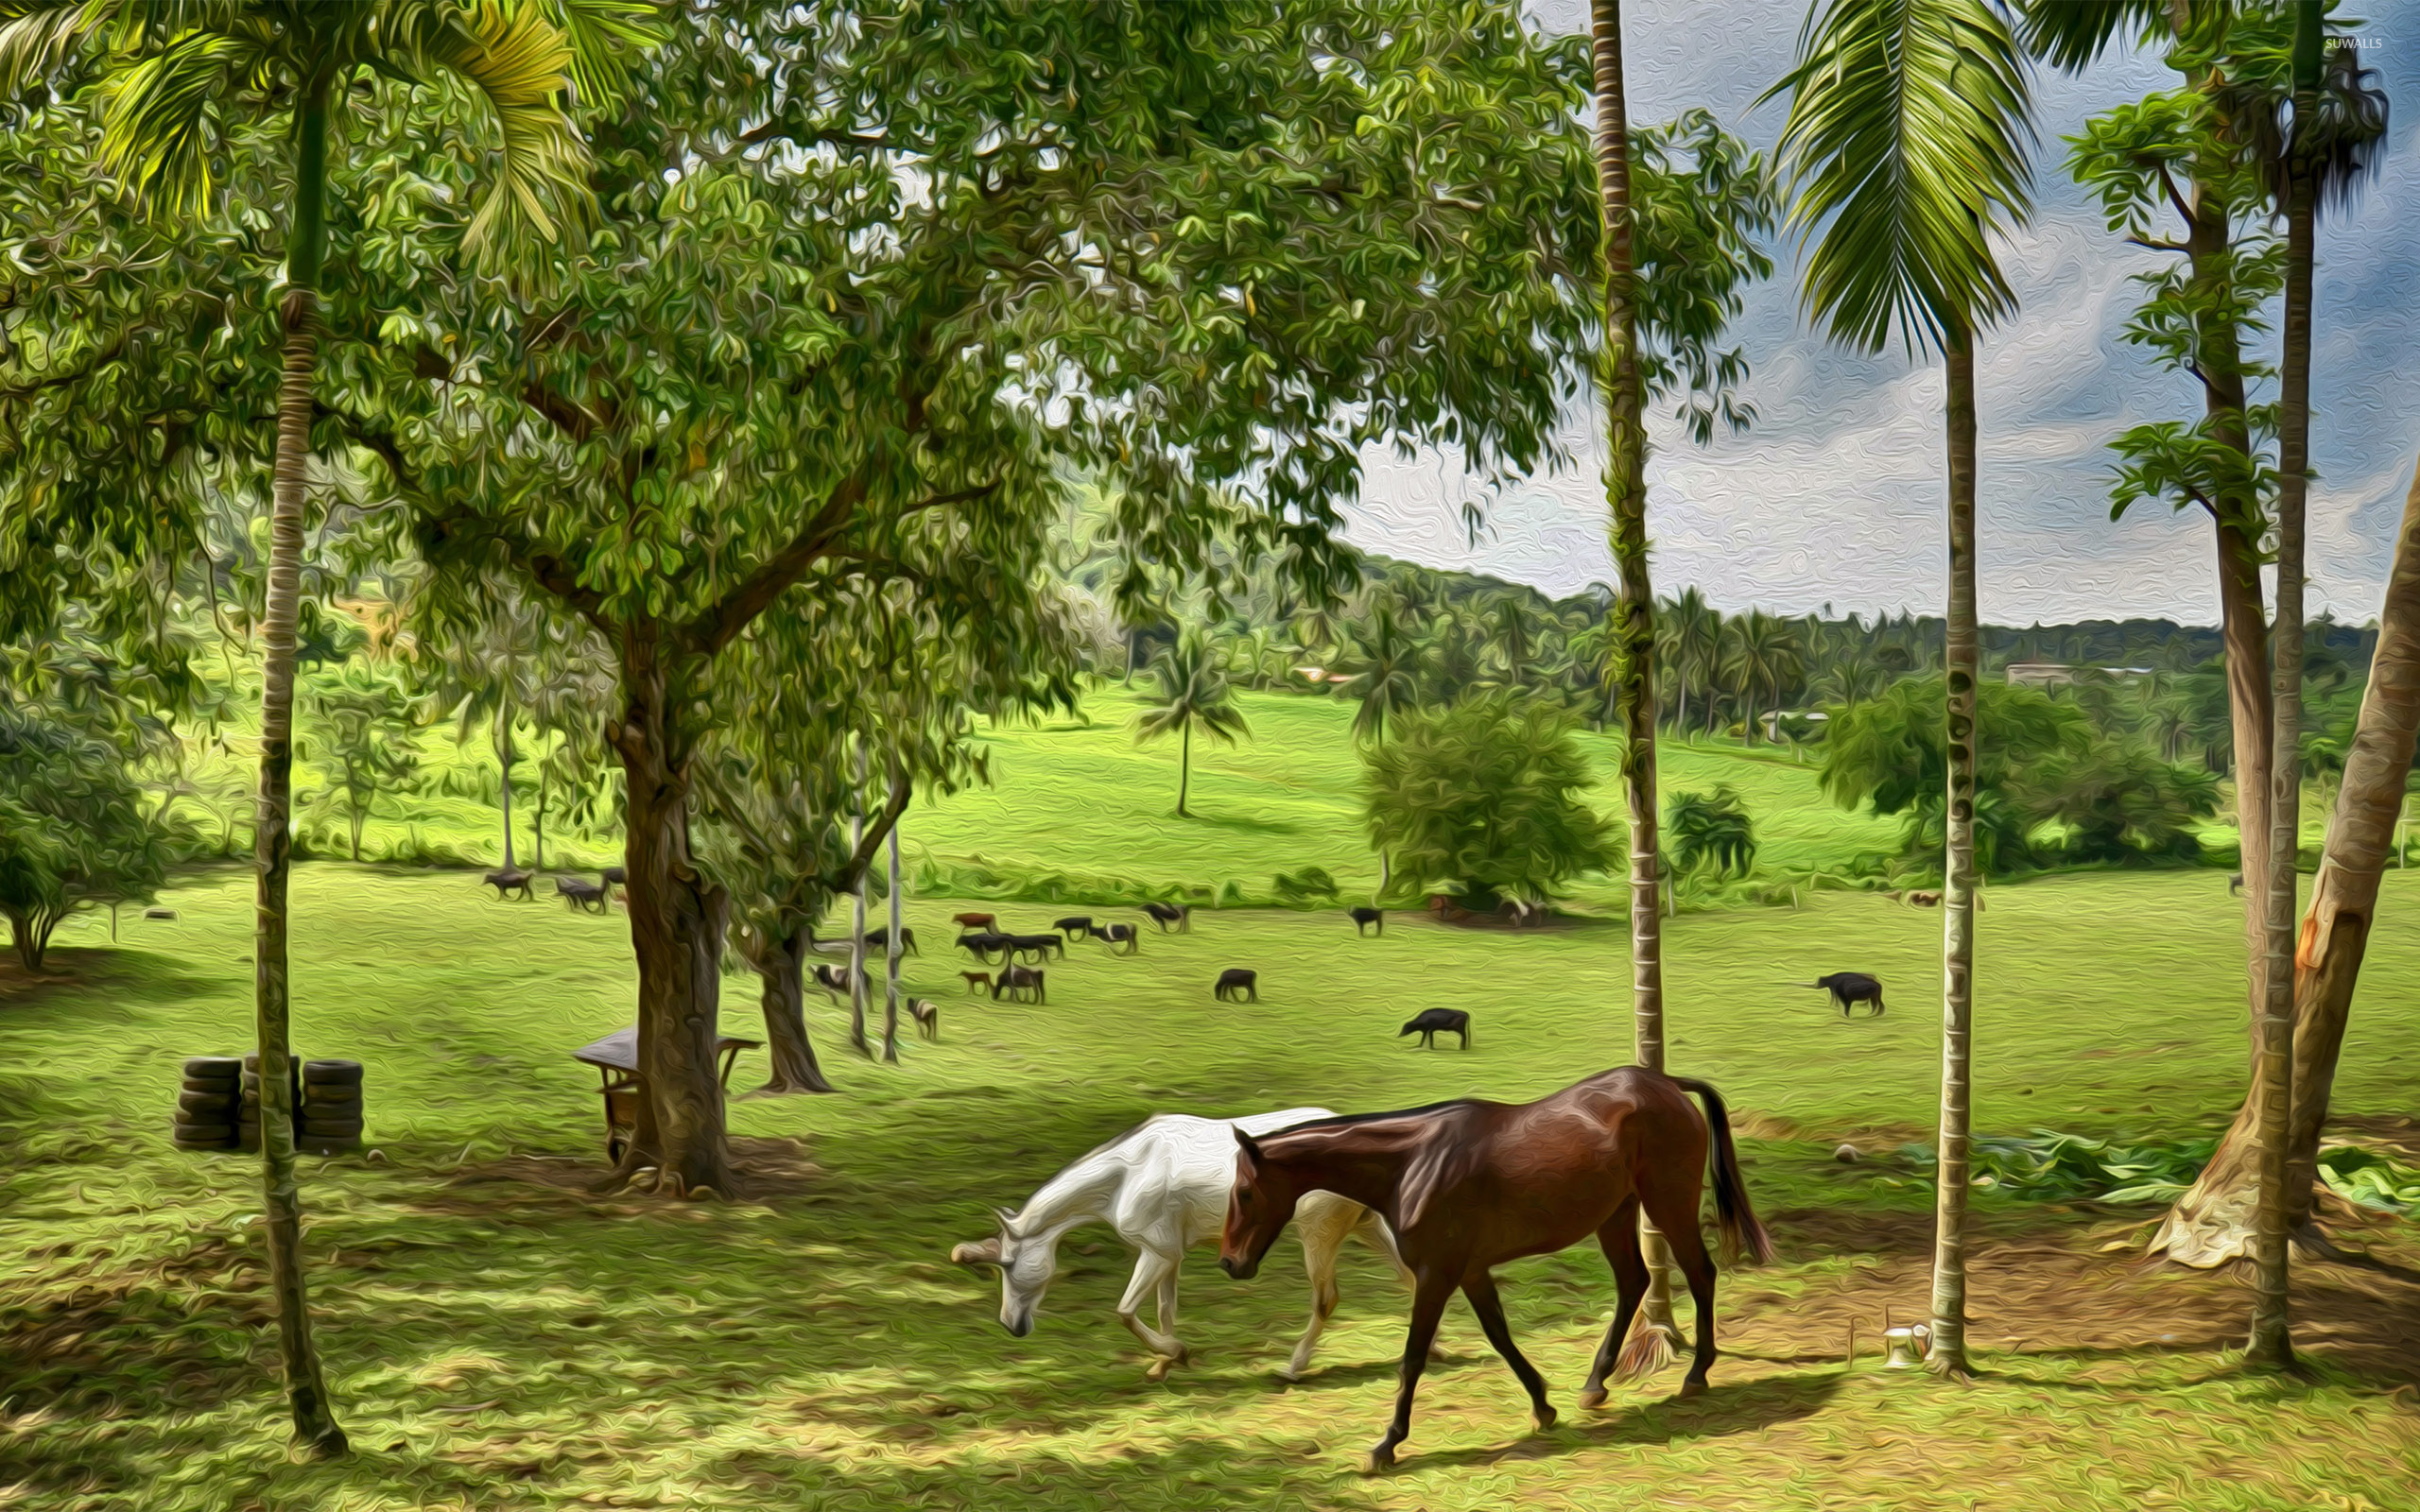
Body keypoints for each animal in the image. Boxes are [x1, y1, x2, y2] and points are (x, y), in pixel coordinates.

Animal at [952, 1109, 1421, 1382]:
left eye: (1009, 1266)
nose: (1011, 1325)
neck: (1128, 1171)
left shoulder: (1158, 1252)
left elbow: (1126, 1312)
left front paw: (1175, 1354)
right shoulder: (1169, 1256)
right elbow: (1165, 1310)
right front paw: (1164, 1363)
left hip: (1318, 1236)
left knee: (1327, 1299)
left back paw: (1292, 1368)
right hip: (1367, 1228)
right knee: (1411, 1278)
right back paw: (1427, 1351)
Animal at [1218, 1067, 1771, 1471]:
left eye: (1243, 1192)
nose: (1230, 1262)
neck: (1413, 1163)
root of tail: (1668, 1085)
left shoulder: (1437, 1275)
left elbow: (1413, 1358)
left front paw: (1386, 1446)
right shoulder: (1470, 1272)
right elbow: (1500, 1336)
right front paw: (1544, 1406)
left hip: (1666, 1203)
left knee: (1699, 1273)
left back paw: (1697, 1374)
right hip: (1616, 1213)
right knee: (1633, 1281)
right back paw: (1595, 1385)